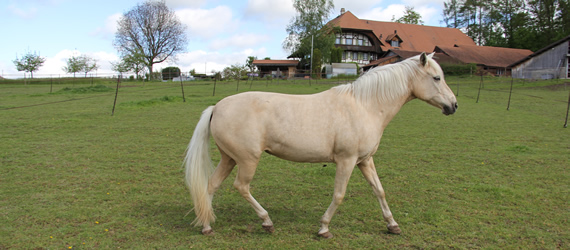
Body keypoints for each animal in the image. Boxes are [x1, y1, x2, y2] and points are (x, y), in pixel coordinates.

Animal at [184, 52, 454, 238]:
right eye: (436, 77)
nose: (453, 105)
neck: (364, 106)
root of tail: (217, 107)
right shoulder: (346, 161)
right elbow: (339, 194)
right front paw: (324, 228)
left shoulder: (365, 161)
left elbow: (379, 191)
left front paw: (393, 225)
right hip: (247, 160)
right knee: (241, 186)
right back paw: (266, 221)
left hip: (229, 159)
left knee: (211, 186)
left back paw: (207, 226)